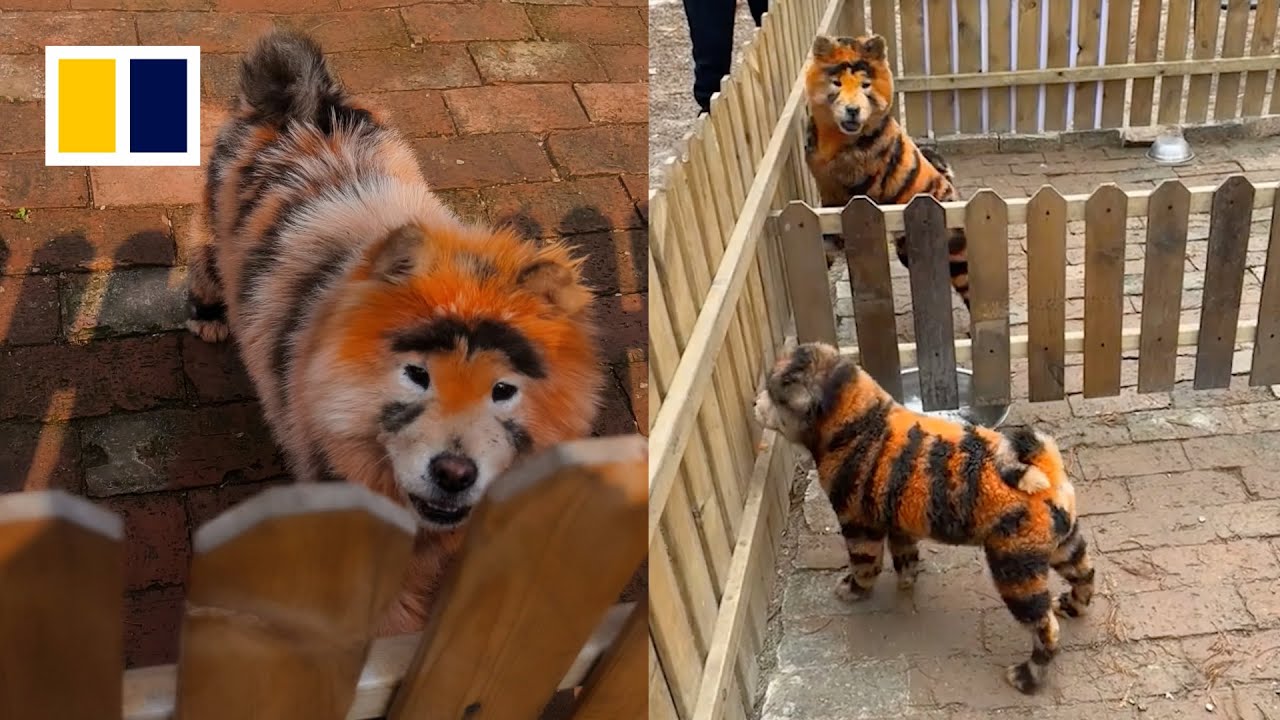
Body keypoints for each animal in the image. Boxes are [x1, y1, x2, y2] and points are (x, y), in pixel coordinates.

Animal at [185, 29, 605, 634]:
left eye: (503, 390)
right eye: (415, 376)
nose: (454, 472)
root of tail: (305, 104)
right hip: (218, 227)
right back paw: (207, 316)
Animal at [753, 342, 1095, 694]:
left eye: (774, 394)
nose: (754, 403)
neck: (862, 423)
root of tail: (1046, 468)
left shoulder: (858, 525)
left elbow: (865, 565)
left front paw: (852, 590)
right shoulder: (898, 522)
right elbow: (905, 556)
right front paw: (907, 581)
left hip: (1016, 570)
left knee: (1046, 629)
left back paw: (1026, 677)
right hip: (1064, 544)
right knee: (1085, 574)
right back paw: (1072, 606)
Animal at [804, 33, 971, 310]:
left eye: (865, 85)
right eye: (836, 83)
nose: (852, 110)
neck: (836, 140)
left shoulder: (862, 194)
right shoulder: (827, 192)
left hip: (956, 257)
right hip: (907, 249)